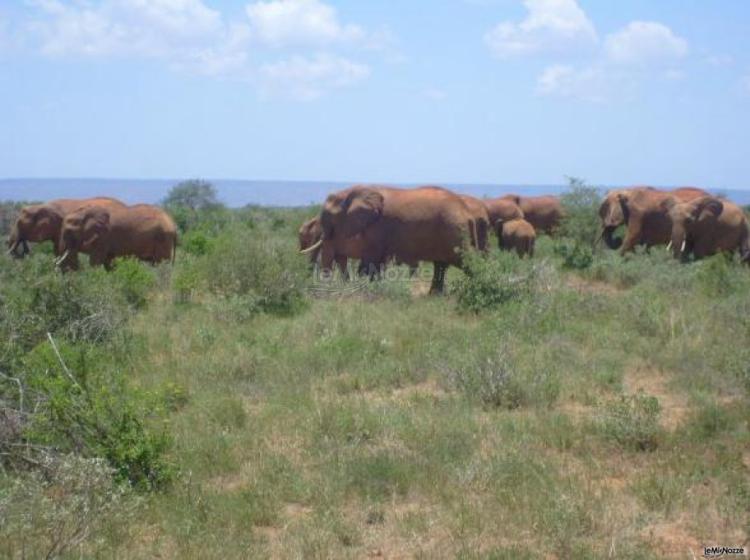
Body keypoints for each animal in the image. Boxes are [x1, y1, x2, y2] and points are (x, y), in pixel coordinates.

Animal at [306, 187, 478, 296]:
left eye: (328, 216)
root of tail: (468, 212)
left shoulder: (377, 227)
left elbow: (370, 262)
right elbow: (378, 262)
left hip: (454, 231)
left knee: (466, 261)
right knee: (441, 265)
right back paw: (434, 296)